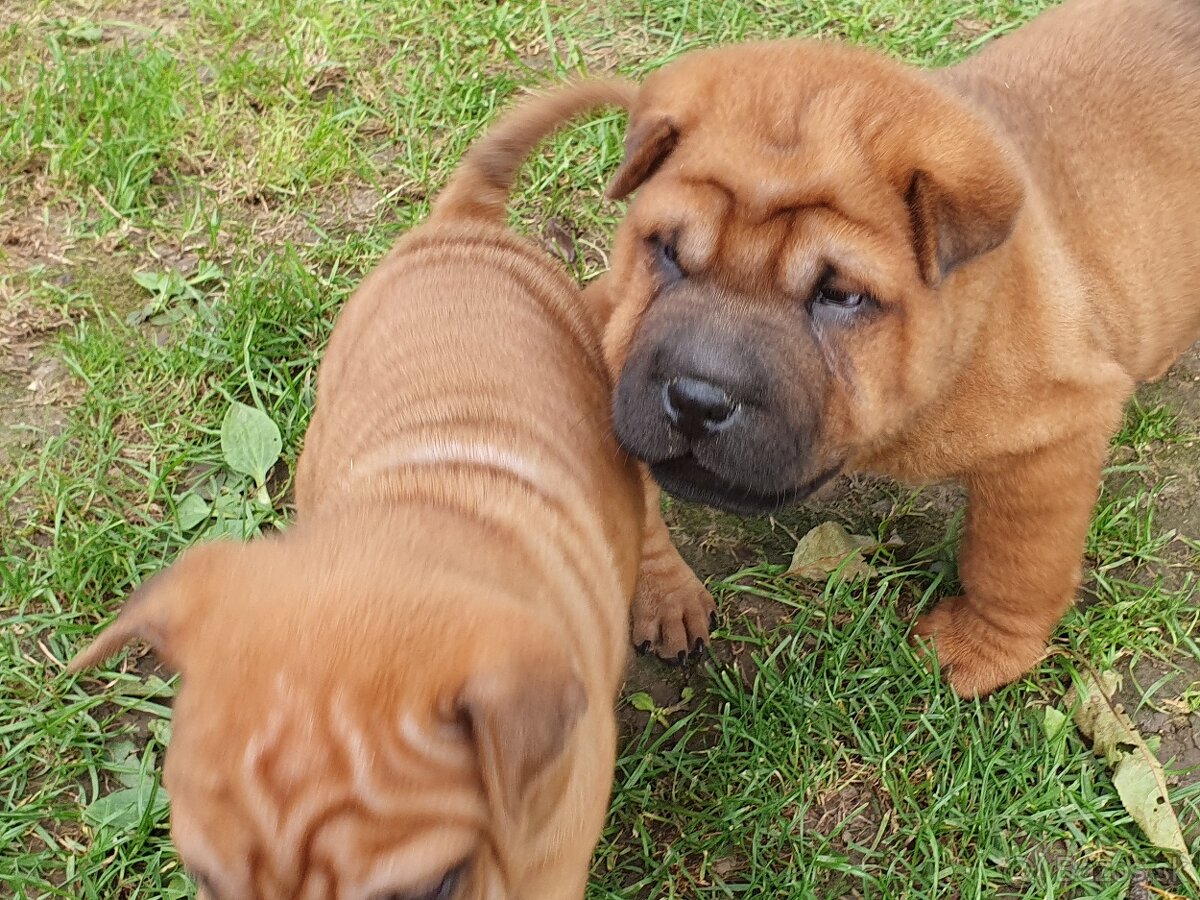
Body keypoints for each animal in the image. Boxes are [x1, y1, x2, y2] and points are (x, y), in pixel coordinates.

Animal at [592, 0, 1200, 696]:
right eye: (666, 250)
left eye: (841, 296)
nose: (696, 399)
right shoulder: (610, 346)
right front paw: (664, 596)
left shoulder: (1055, 433)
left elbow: (1016, 561)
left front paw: (980, 648)